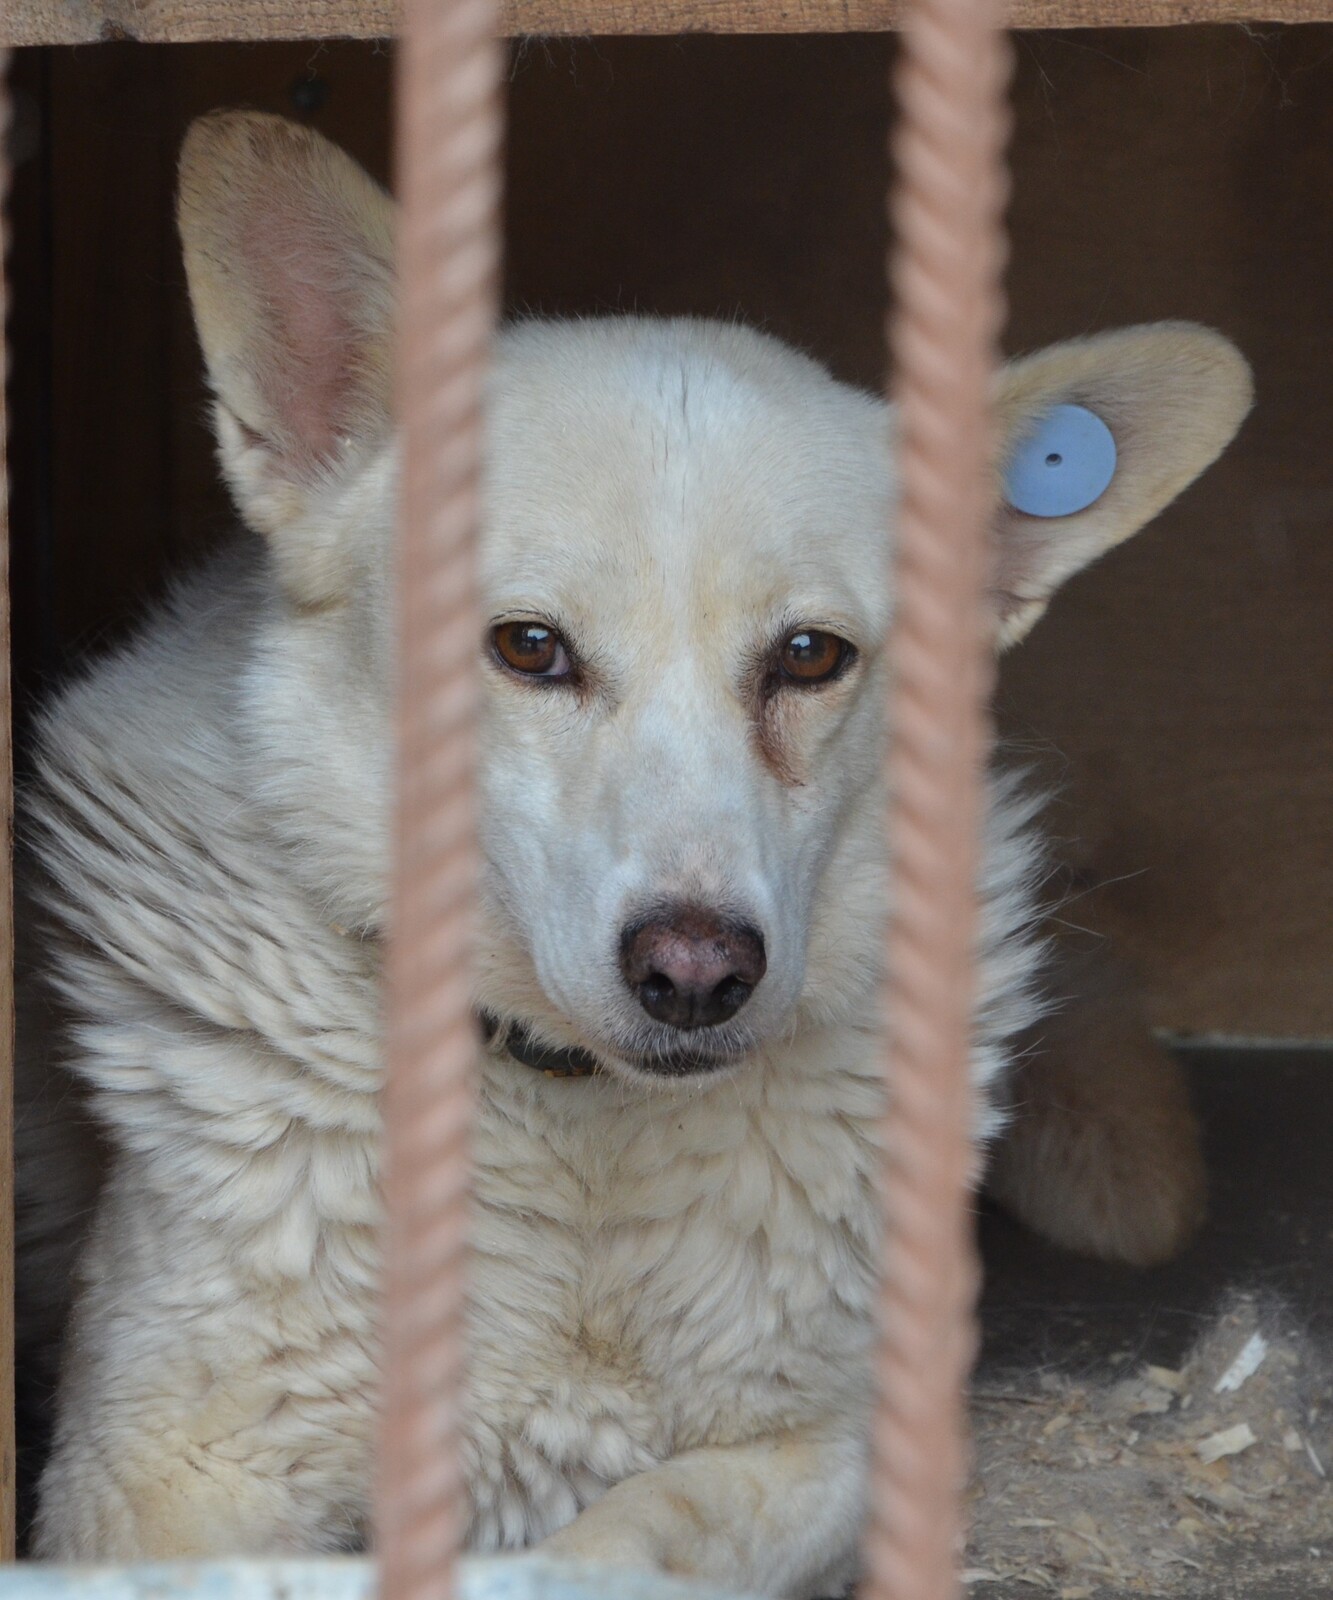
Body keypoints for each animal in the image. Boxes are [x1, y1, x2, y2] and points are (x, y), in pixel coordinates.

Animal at [15, 111, 1251, 1592]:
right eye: (527, 646)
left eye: (808, 656)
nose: (696, 974)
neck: (577, 1128)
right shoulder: (148, 1477)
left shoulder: (831, 1445)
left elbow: (625, 1540)